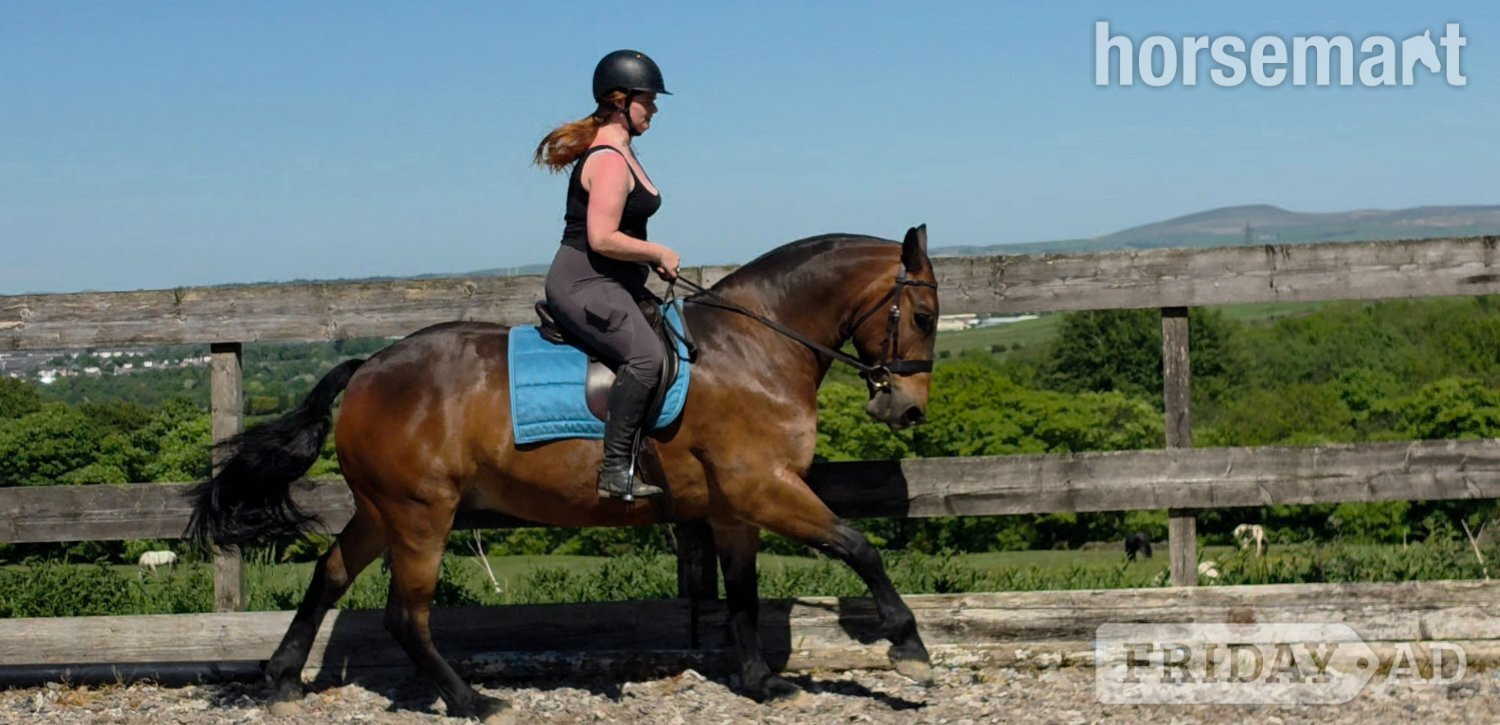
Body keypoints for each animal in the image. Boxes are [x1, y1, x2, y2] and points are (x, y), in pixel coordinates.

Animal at [186, 226, 940, 721]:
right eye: (925, 314)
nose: (906, 408)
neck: (753, 347)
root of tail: (369, 366)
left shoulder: (734, 508)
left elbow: (744, 596)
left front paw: (759, 681)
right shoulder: (766, 486)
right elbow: (858, 546)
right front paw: (908, 645)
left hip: (382, 509)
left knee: (330, 575)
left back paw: (283, 678)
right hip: (421, 513)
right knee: (406, 613)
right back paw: (471, 699)